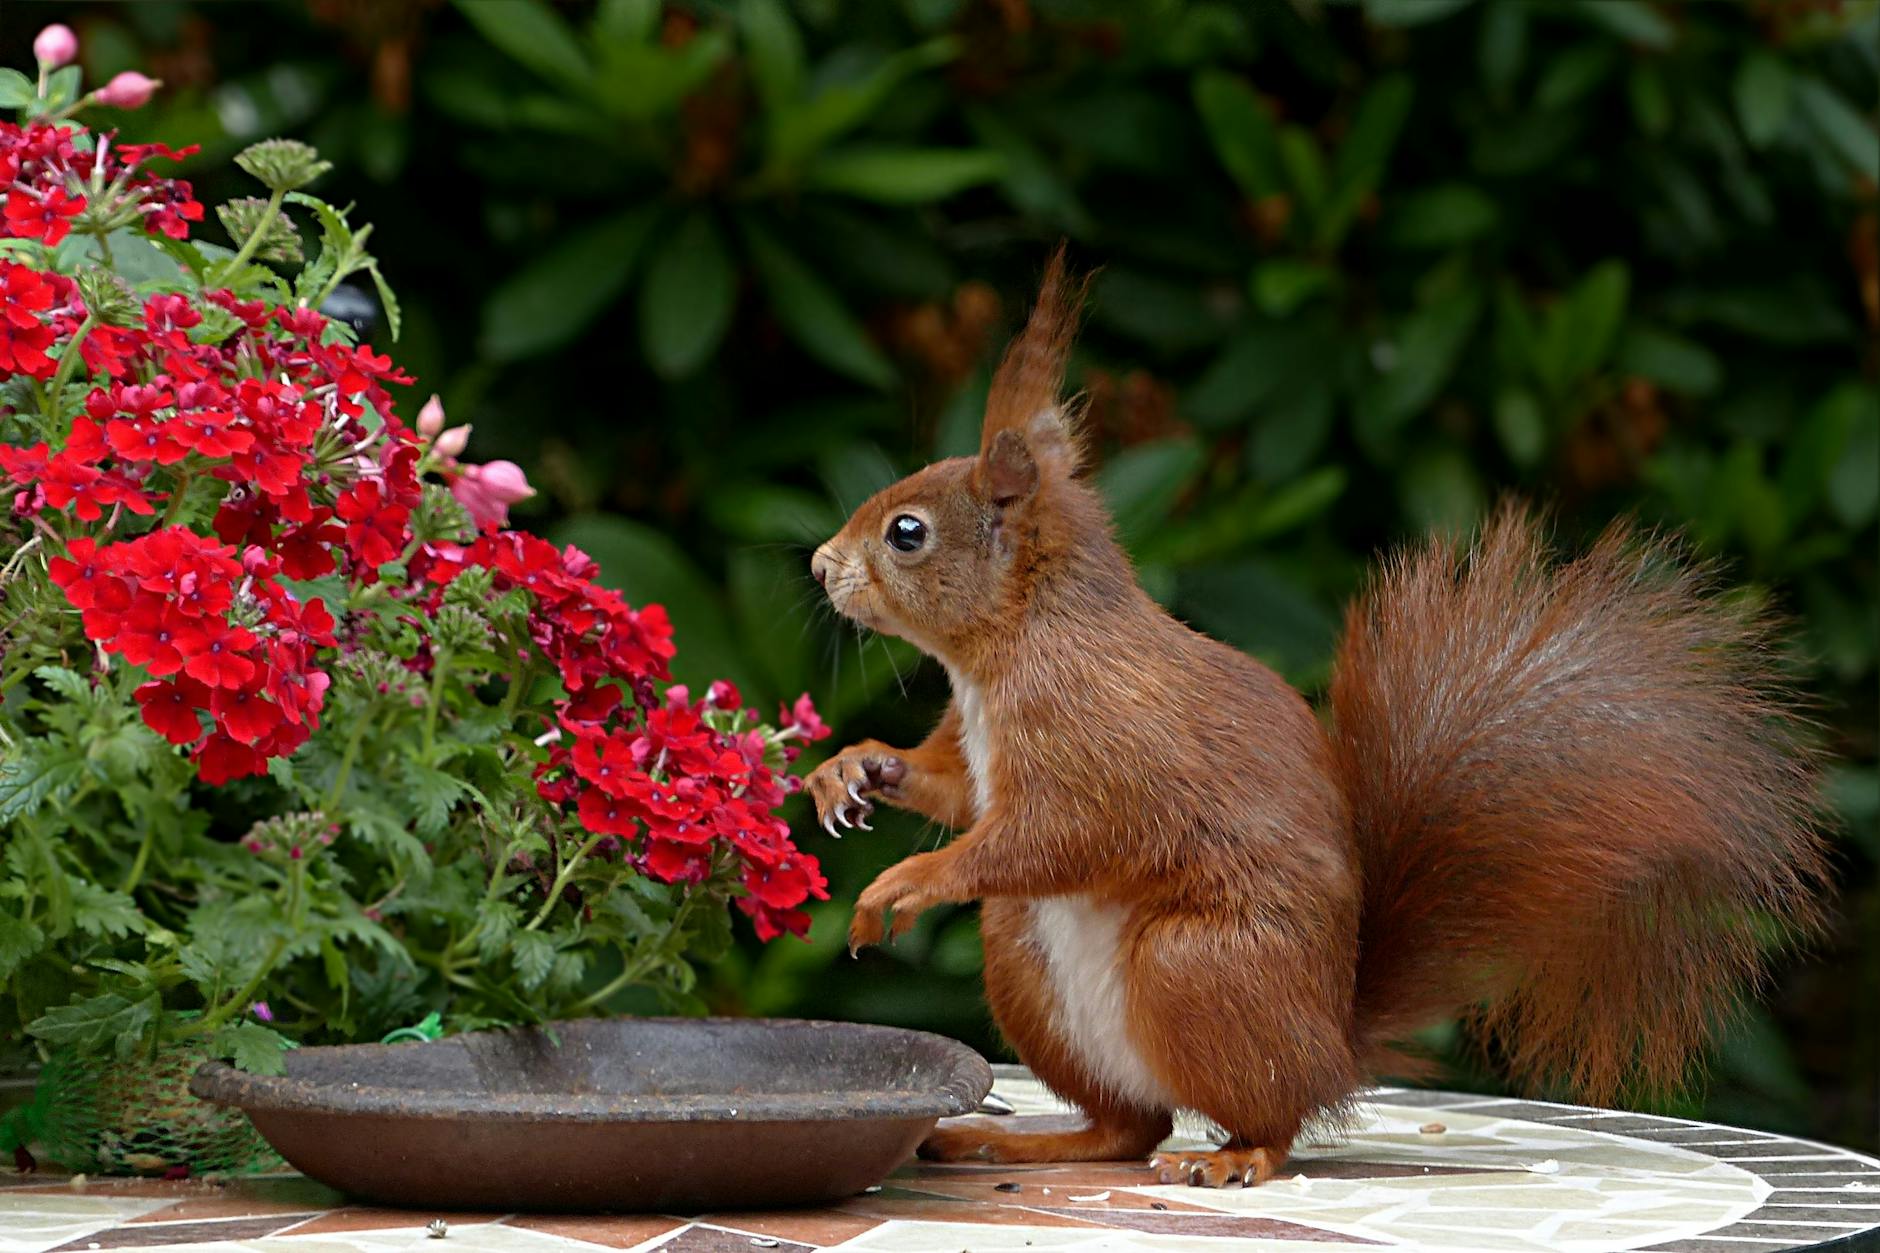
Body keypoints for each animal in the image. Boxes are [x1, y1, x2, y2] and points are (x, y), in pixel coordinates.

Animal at [804, 252, 1819, 1181]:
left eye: (907, 532)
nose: (818, 565)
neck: (1009, 648)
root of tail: (1335, 1044)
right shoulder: (978, 748)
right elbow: (954, 790)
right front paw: (853, 768)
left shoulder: (1101, 733)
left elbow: (1060, 831)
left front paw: (908, 880)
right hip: (1025, 958)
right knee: (1130, 1125)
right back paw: (1016, 1138)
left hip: (1195, 966)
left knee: (1264, 1116)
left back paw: (1234, 1155)